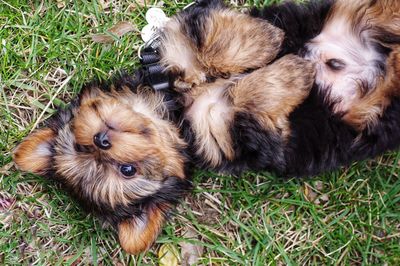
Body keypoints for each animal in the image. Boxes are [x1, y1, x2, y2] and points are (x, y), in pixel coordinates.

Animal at [12, 0, 400, 255]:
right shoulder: (234, 132)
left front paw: (271, 42)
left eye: (83, 147)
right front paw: (295, 70)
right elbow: (246, 98)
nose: (101, 139)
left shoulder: (182, 38)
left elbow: (211, 42)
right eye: (127, 170)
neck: (175, 109)